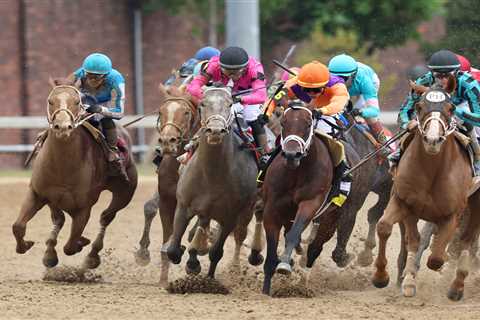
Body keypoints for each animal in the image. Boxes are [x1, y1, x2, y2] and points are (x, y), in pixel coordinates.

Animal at [11, 79, 138, 268]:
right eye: (50, 101)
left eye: (77, 102)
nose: (62, 127)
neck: (63, 167)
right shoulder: (37, 193)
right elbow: (18, 226)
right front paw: (27, 245)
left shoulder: (84, 207)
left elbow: (70, 245)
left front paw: (80, 243)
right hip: (54, 199)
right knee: (59, 219)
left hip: (125, 192)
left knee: (106, 217)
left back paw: (92, 255)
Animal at [370, 87, 474, 300]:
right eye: (419, 106)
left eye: (451, 108)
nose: (432, 140)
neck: (432, 172)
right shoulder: (404, 203)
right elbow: (386, 228)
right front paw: (383, 277)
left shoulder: (452, 214)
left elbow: (436, 258)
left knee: (467, 241)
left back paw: (457, 286)